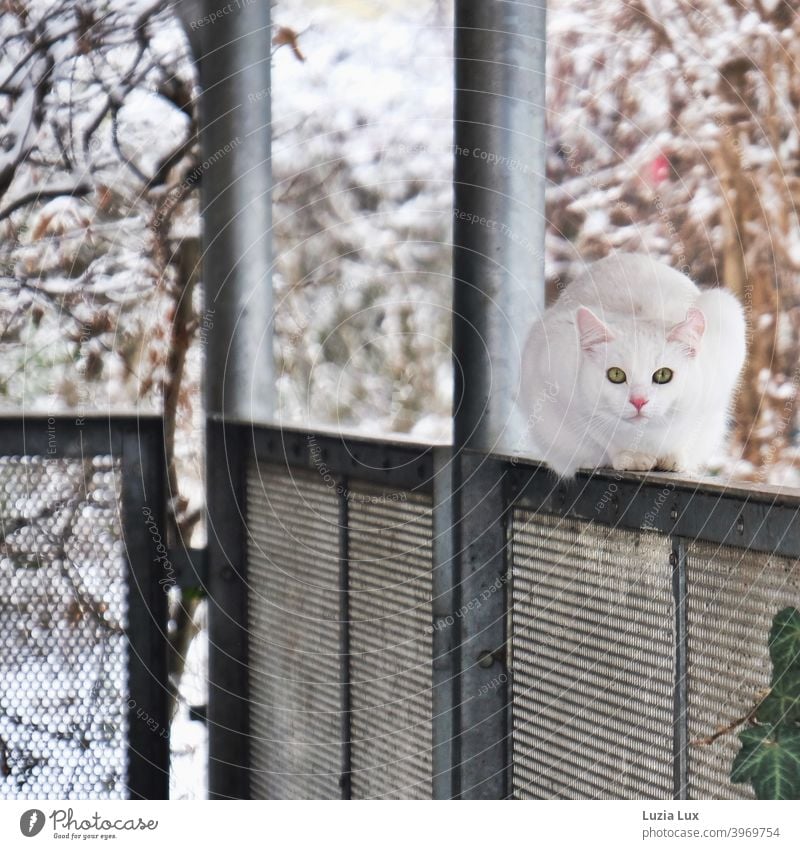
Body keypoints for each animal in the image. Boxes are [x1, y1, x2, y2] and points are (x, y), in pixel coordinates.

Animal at [516, 252, 748, 476]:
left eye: (663, 375)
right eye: (616, 375)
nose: (638, 401)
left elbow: (688, 431)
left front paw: (672, 458)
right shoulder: (553, 376)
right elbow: (600, 434)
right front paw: (632, 458)